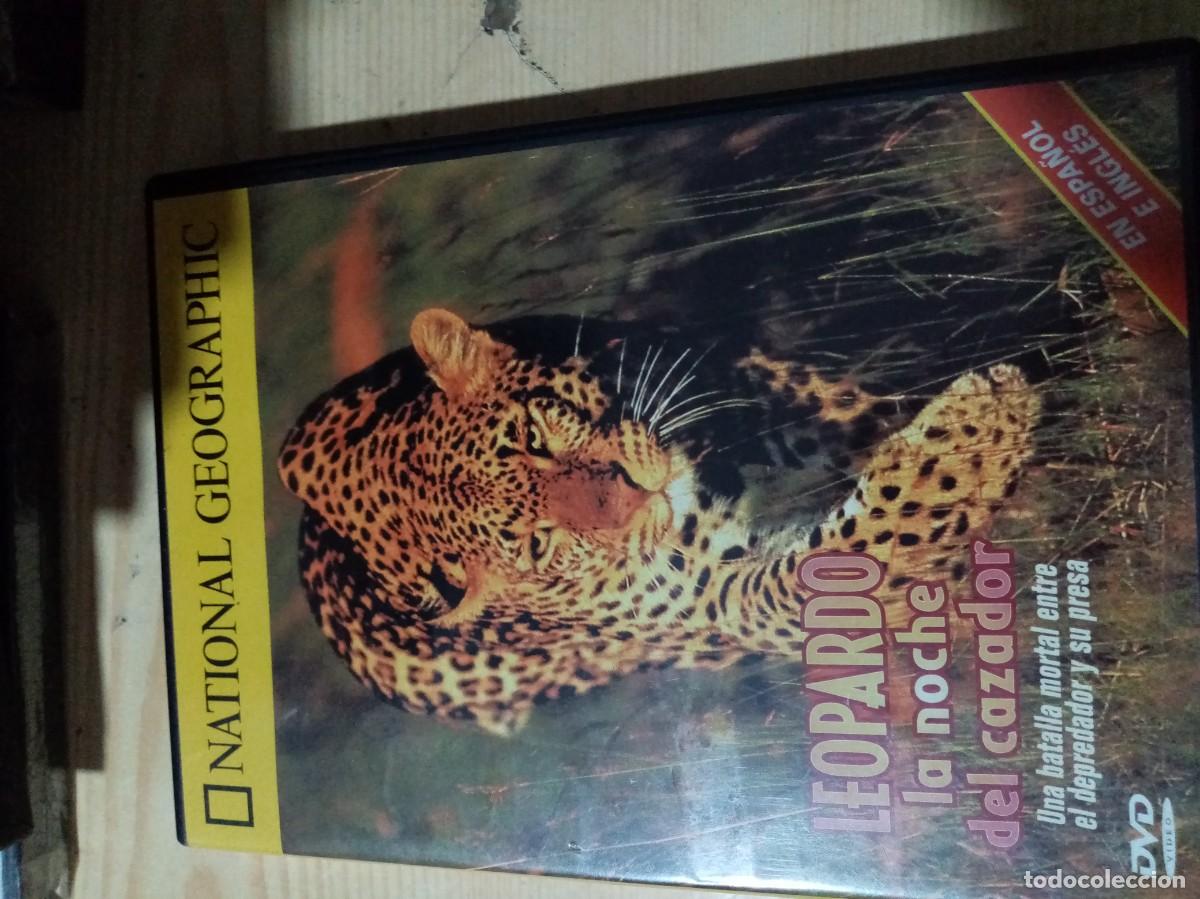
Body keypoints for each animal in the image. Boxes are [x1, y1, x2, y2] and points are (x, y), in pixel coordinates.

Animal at [278, 307, 1041, 736]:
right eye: (537, 544)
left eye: (535, 437)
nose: (638, 493)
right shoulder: (715, 597)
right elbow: (826, 571)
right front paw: (984, 437)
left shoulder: (745, 378)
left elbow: (859, 416)